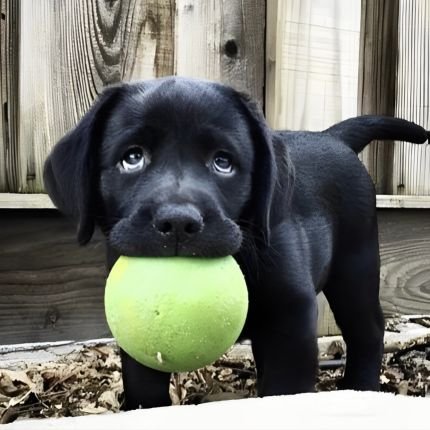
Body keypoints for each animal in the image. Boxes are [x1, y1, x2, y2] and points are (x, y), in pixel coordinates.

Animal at [44, 76, 430, 410]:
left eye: (223, 162)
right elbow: (144, 389)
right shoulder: (136, 340)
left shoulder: (291, 318)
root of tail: (333, 137)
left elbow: (285, 389)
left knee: (367, 332)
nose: (178, 222)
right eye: (132, 158)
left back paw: (359, 389)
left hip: (355, 269)